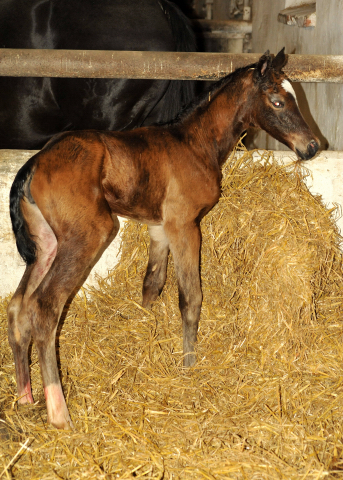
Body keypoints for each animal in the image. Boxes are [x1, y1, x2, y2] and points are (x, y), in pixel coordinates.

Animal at [7, 48, 320, 430]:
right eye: (277, 101)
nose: (312, 146)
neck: (194, 143)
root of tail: (33, 164)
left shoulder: (160, 227)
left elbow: (152, 283)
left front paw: (146, 334)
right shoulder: (184, 224)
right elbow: (191, 298)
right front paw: (190, 366)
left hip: (47, 243)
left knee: (18, 306)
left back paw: (25, 397)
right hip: (89, 235)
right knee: (44, 307)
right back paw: (59, 414)